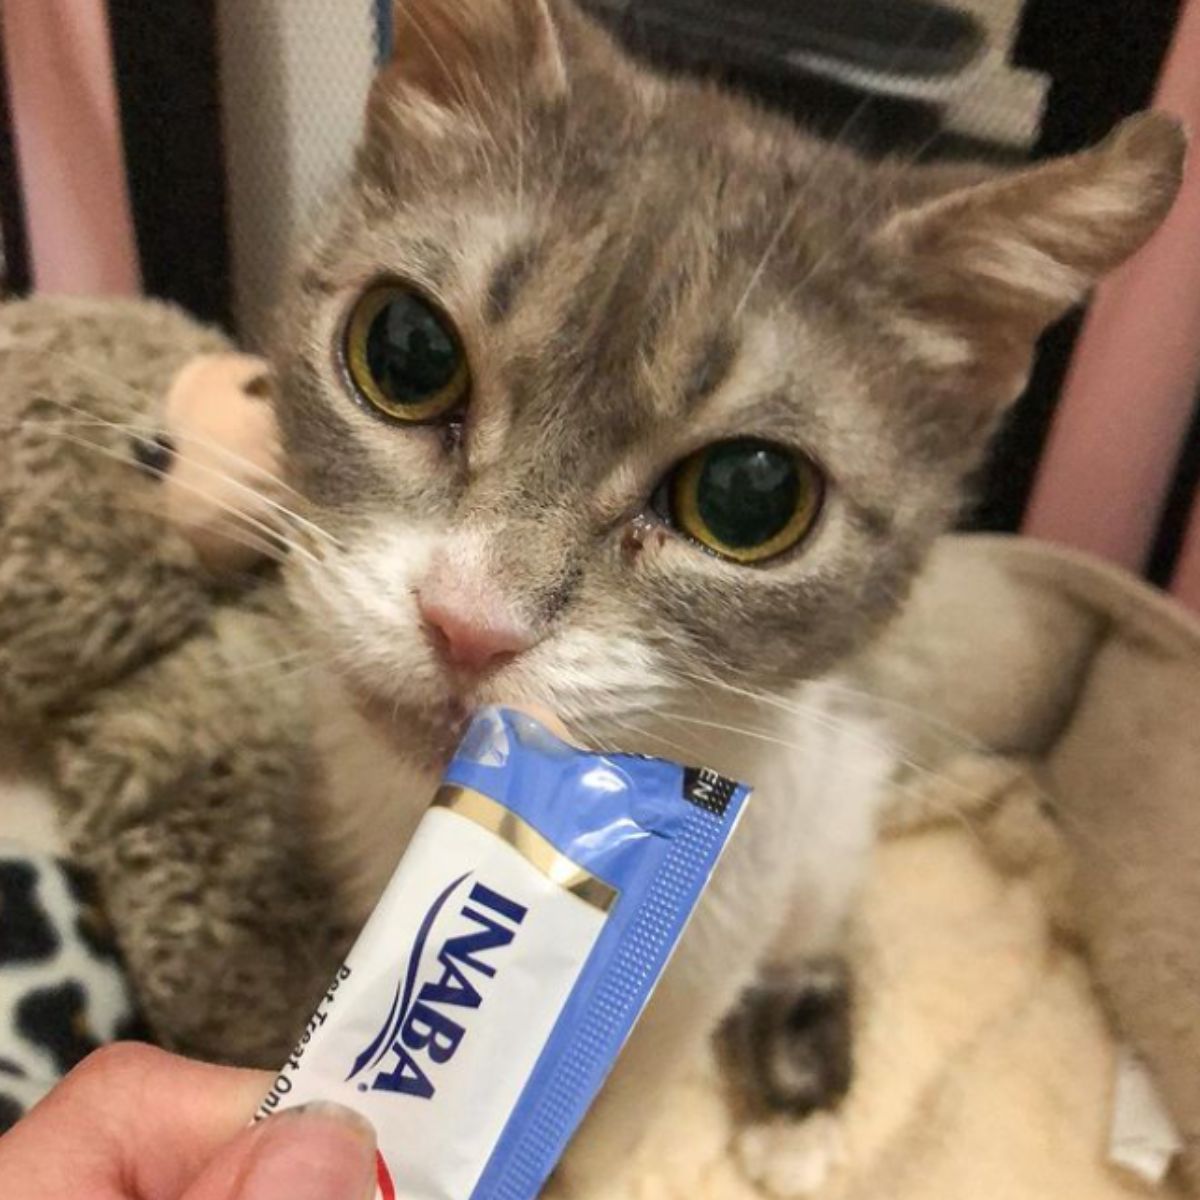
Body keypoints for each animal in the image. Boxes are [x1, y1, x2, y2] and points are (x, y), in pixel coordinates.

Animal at [270, 0, 1180, 1185]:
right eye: (406, 350)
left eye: (750, 497)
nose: (469, 624)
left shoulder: (694, 978)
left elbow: (610, 1136)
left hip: (824, 838)